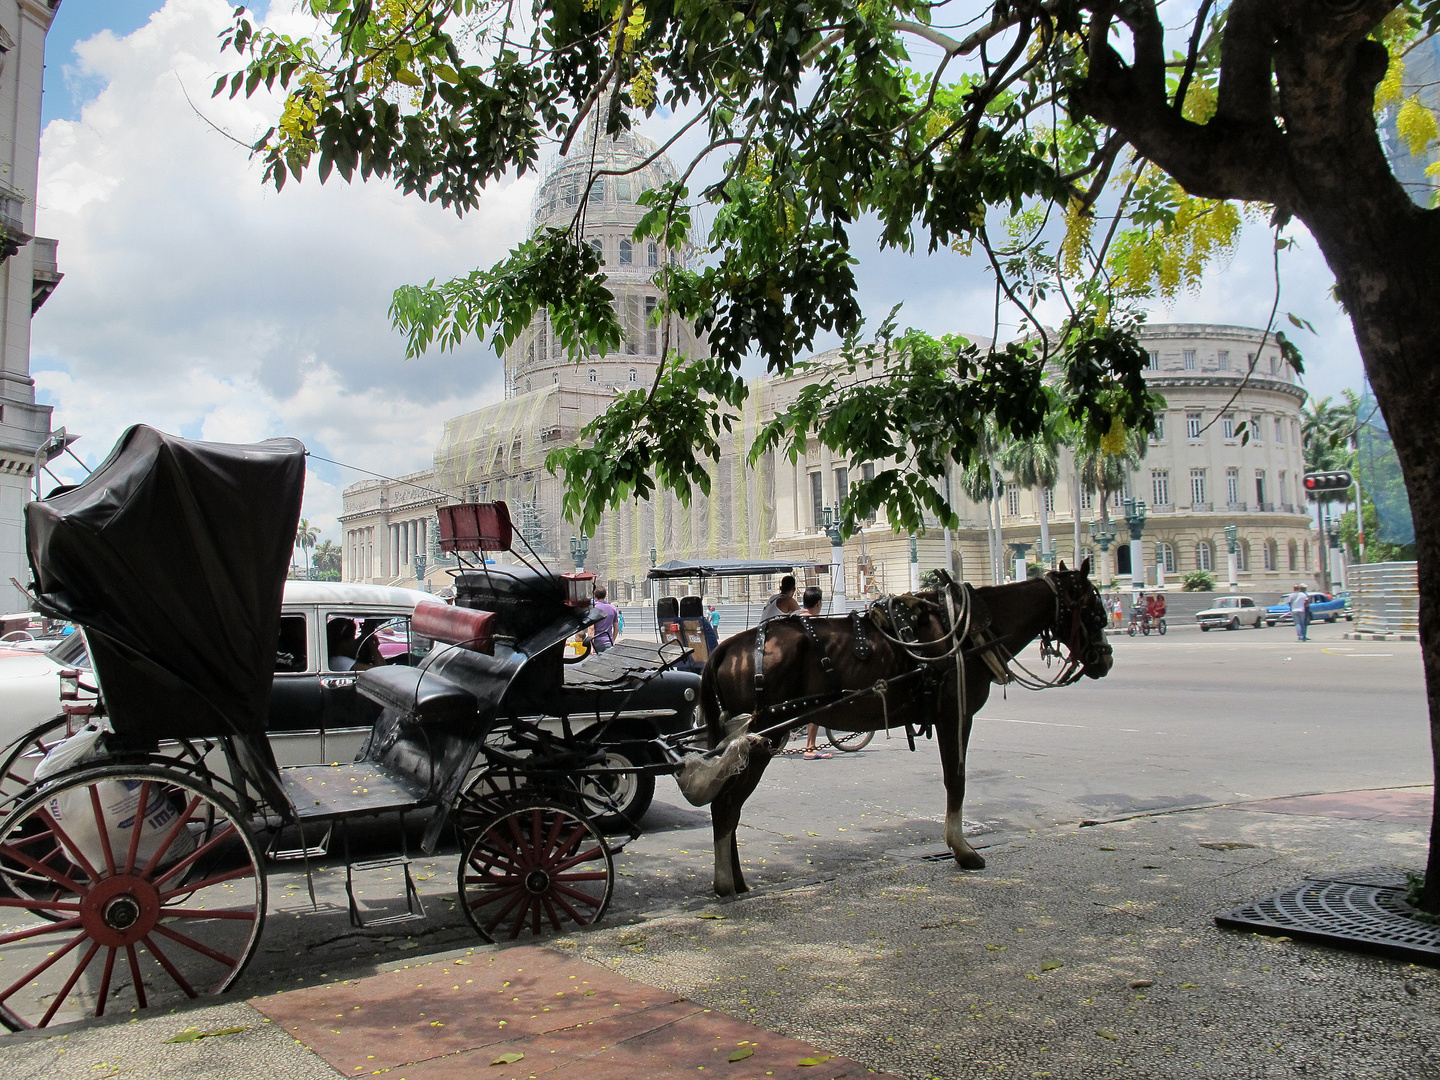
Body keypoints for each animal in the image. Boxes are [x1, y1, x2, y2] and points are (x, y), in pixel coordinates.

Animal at [691, 561, 1105, 898]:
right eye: (1094, 612)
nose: (1105, 659)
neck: (966, 628)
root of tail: (726, 648)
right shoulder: (955, 715)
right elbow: (956, 780)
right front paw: (962, 849)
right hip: (765, 735)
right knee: (726, 805)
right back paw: (725, 883)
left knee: (727, 804)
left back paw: (737, 880)